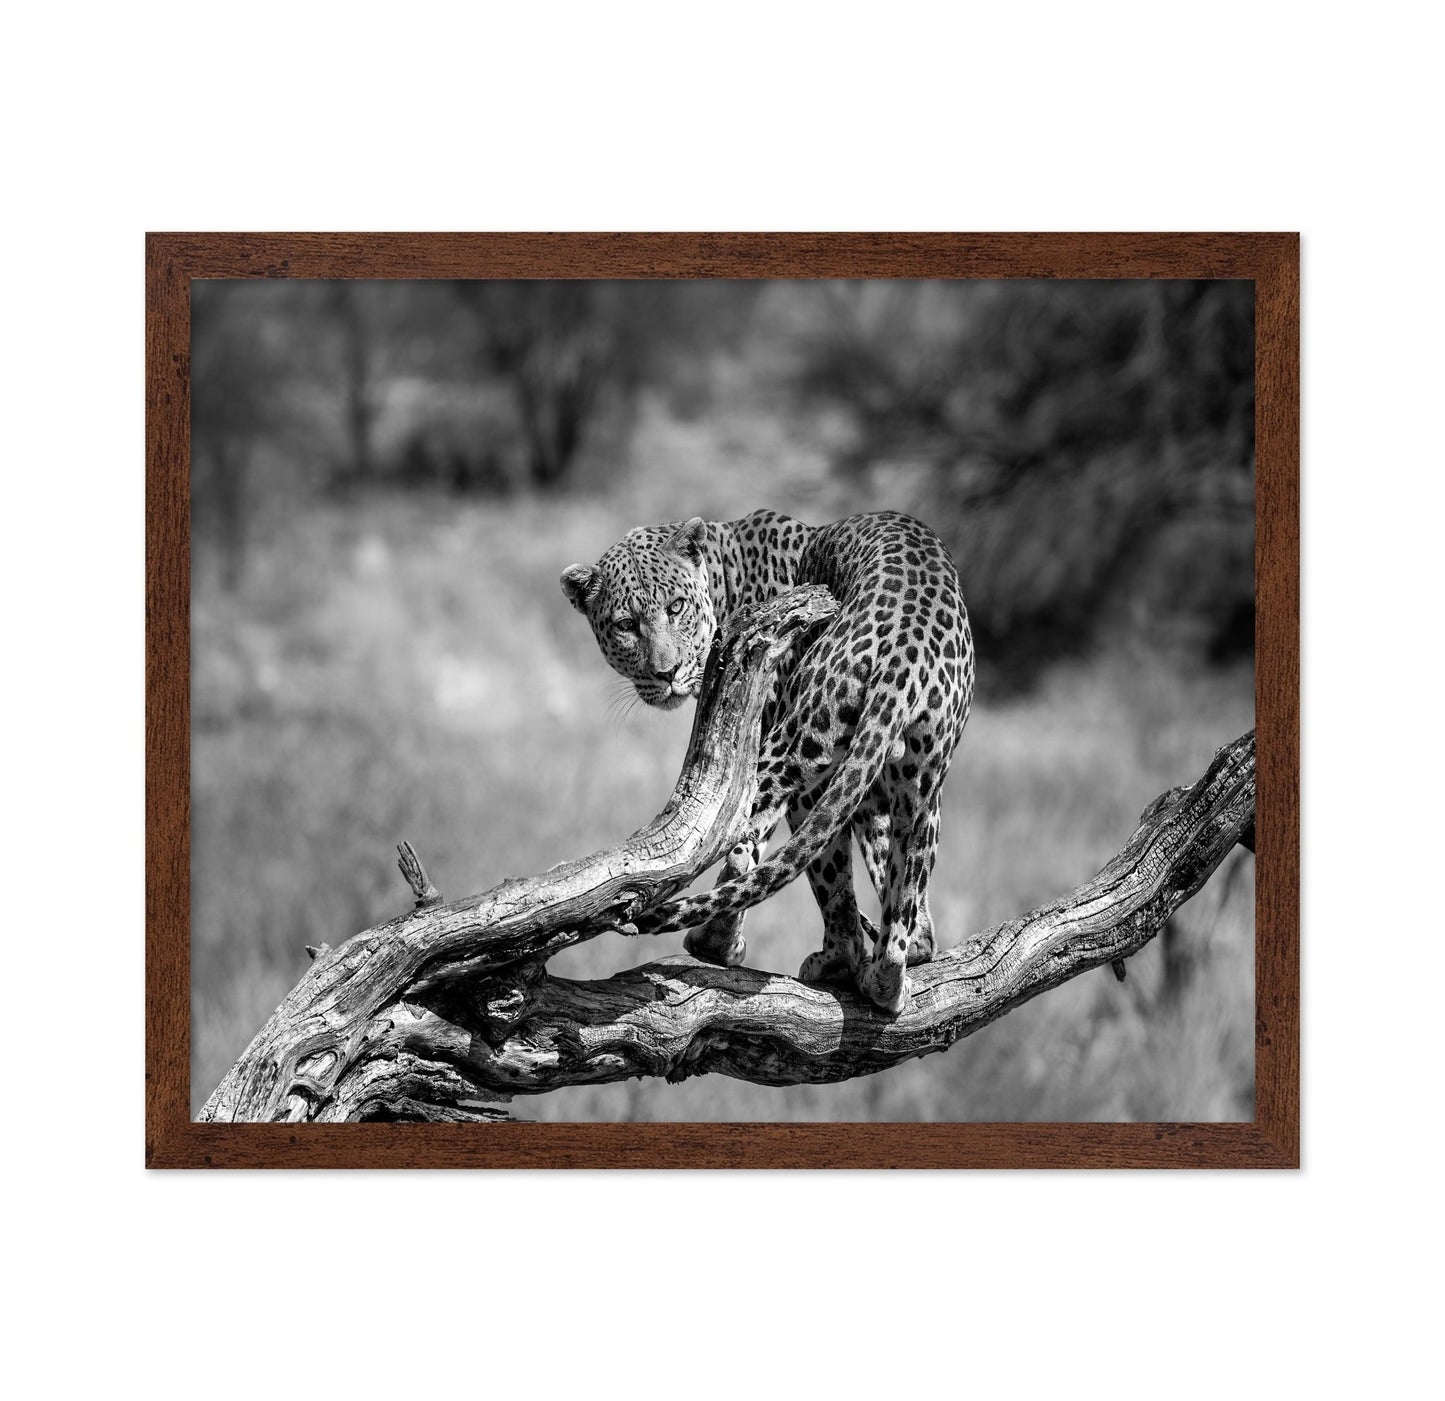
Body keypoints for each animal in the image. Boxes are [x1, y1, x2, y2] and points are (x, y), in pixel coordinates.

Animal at [561, 508, 974, 1014]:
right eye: (626, 624)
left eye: (675, 608)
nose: (667, 672)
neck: (723, 579)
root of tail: (904, 653)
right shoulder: (872, 792)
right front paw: (913, 947)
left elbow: (754, 852)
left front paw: (724, 943)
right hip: (920, 784)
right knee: (904, 894)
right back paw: (886, 976)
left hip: (798, 750)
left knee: (783, 855)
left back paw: (802, 955)